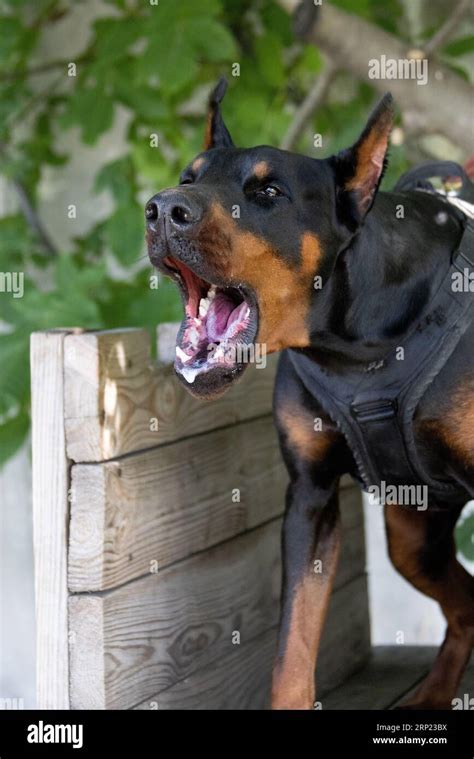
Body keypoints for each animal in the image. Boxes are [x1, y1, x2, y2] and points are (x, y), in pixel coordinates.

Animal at [145, 80, 474, 708]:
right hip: (413, 532)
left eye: (269, 191)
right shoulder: (309, 498)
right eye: (187, 176)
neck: (351, 344)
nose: (162, 210)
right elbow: (291, 647)